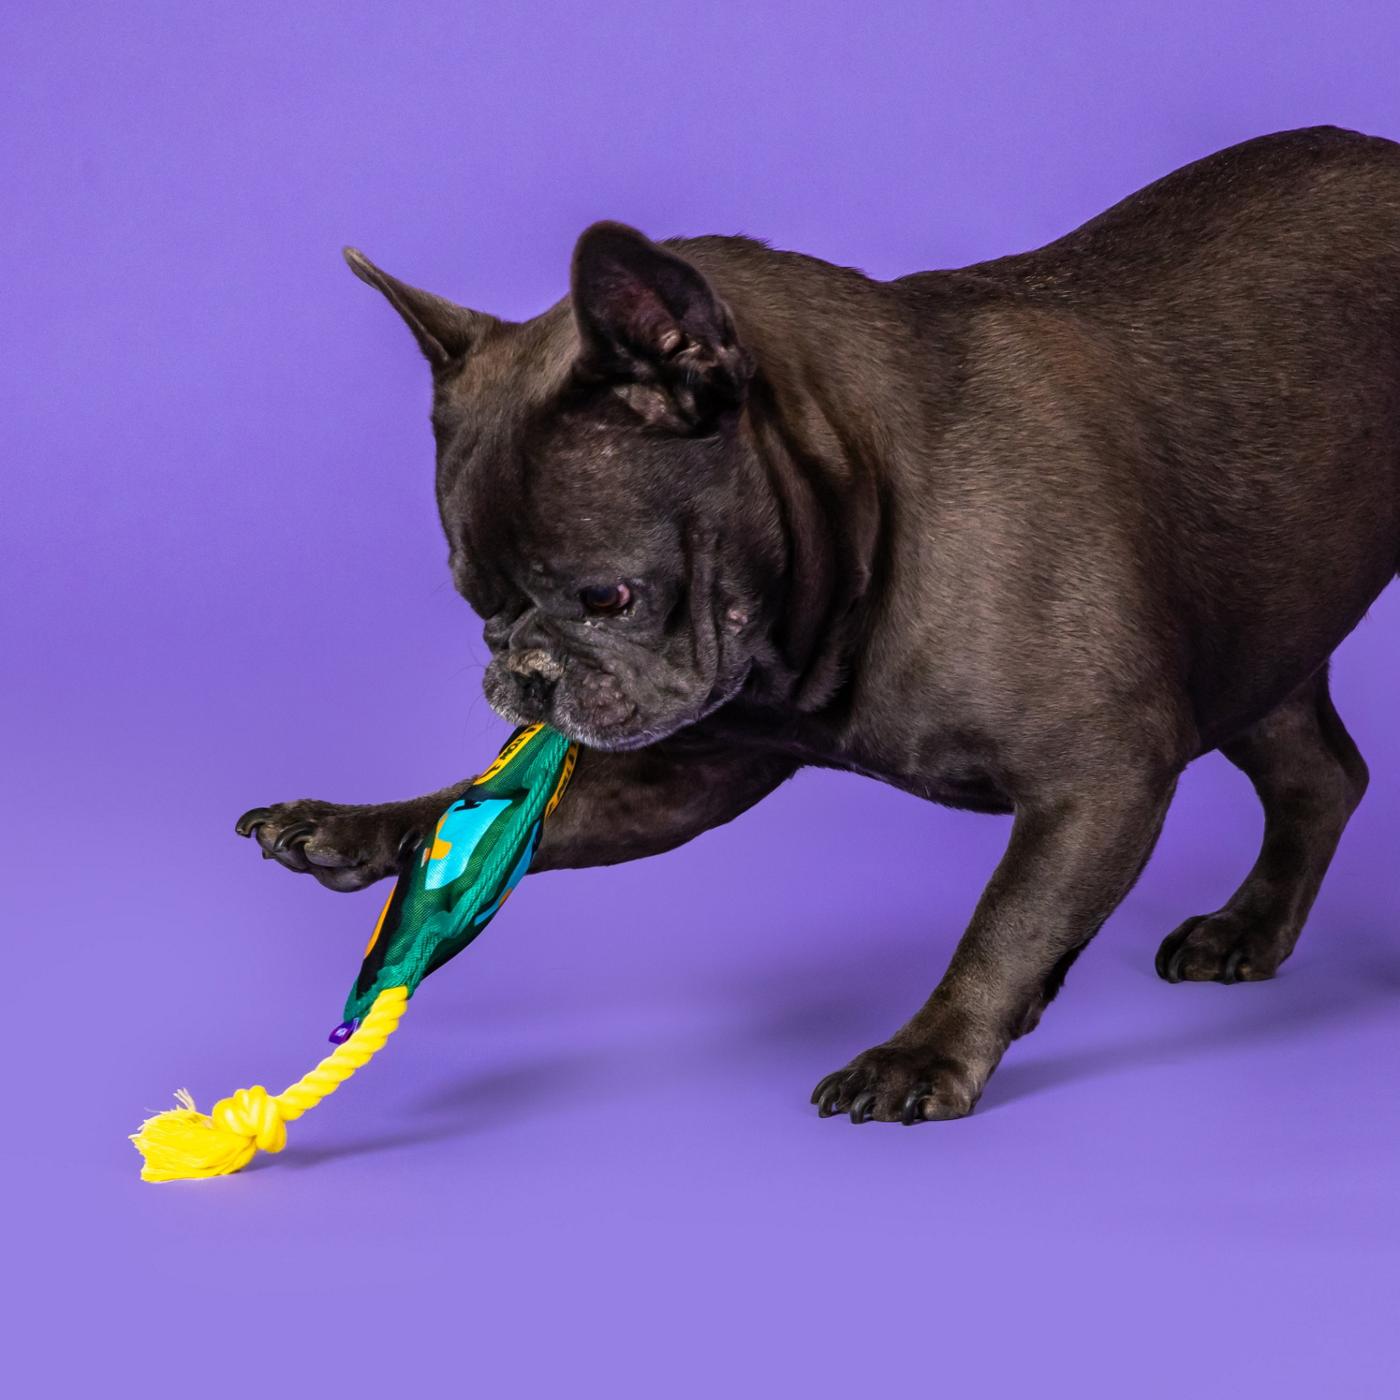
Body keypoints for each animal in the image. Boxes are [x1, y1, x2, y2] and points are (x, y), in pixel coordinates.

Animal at [235, 126, 1400, 1120]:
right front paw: (352, 825)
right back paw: (1250, 927)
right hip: (1256, 640)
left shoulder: (1098, 775)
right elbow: (485, 810)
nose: (520, 673)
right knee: (1319, 776)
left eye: (605, 596)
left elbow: (1010, 914)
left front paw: (923, 1052)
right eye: (478, 604)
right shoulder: (690, 769)